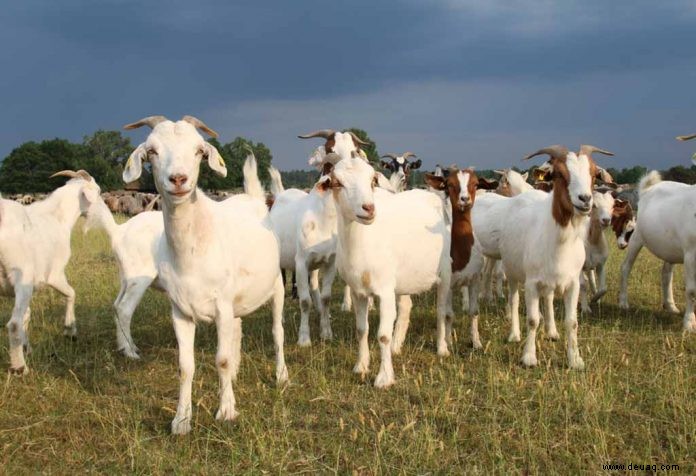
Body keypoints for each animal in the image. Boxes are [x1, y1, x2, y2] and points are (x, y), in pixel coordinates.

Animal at [2, 169, 103, 374]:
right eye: (98, 191)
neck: (57, 217)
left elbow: (27, 315)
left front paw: (27, 347)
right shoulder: (54, 275)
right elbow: (71, 293)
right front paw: (70, 330)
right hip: (22, 276)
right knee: (13, 324)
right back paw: (20, 368)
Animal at [123, 115, 288, 436]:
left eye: (199, 150)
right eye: (152, 151)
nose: (178, 179)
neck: (193, 249)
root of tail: (252, 199)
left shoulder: (221, 306)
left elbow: (220, 360)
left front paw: (226, 411)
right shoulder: (180, 311)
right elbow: (185, 366)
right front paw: (181, 420)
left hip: (276, 287)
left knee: (278, 332)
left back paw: (281, 375)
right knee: (238, 330)